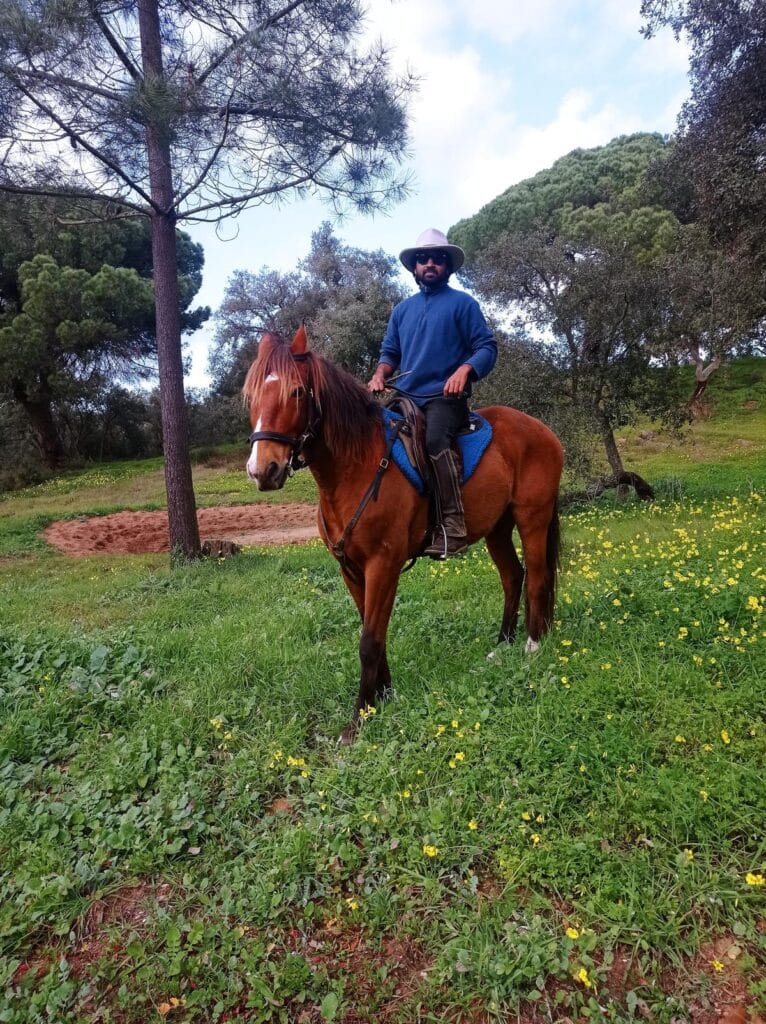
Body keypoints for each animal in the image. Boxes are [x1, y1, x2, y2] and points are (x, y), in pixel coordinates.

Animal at [244, 326, 564, 744]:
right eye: (251, 396)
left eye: (297, 392)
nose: (263, 470)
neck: (357, 467)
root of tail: (544, 431)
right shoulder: (351, 569)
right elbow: (373, 633)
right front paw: (382, 696)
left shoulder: (384, 564)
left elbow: (368, 641)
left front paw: (357, 720)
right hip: (497, 528)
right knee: (514, 577)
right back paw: (502, 645)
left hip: (532, 520)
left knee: (538, 578)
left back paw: (532, 645)